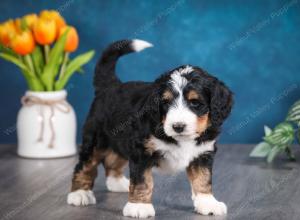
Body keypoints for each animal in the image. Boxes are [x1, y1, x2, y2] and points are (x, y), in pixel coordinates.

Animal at [67, 38, 233, 217]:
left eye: (195, 103)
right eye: (166, 102)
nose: (178, 126)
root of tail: (110, 86)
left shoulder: (203, 153)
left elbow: (203, 178)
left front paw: (208, 203)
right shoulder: (142, 151)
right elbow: (142, 180)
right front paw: (139, 206)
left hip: (120, 138)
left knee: (113, 160)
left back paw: (117, 183)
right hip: (96, 139)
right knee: (85, 165)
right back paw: (79, 193)